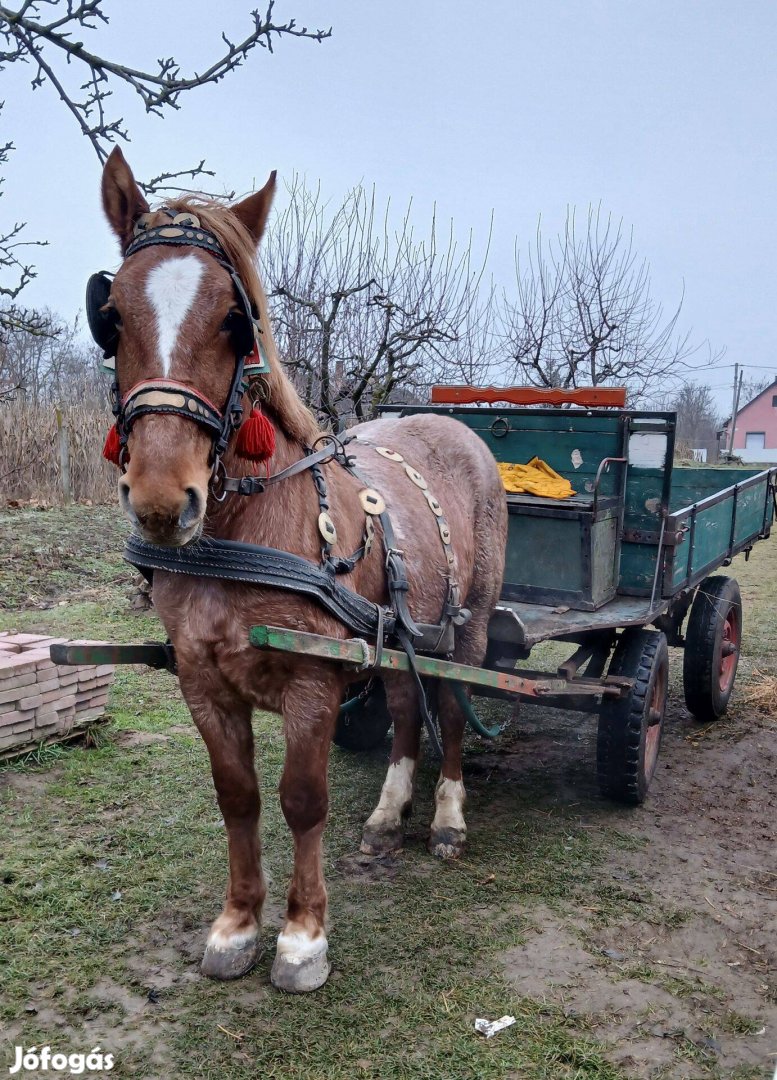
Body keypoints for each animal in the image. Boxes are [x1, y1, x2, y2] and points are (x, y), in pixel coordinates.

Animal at [94, 147, 507, 989]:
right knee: (405, 707)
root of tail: (453, 424)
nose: (162, 498)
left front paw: (303, 935)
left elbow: (302, 799)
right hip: (394, 631)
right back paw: (386, 814)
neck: (243, 531)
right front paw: (236, 925)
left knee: (450, 708)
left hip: (468, 628)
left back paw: (446, 819)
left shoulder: (313, 681)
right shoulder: (201, 679)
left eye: (236, 319)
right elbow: (239, 797)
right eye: (110, 317)